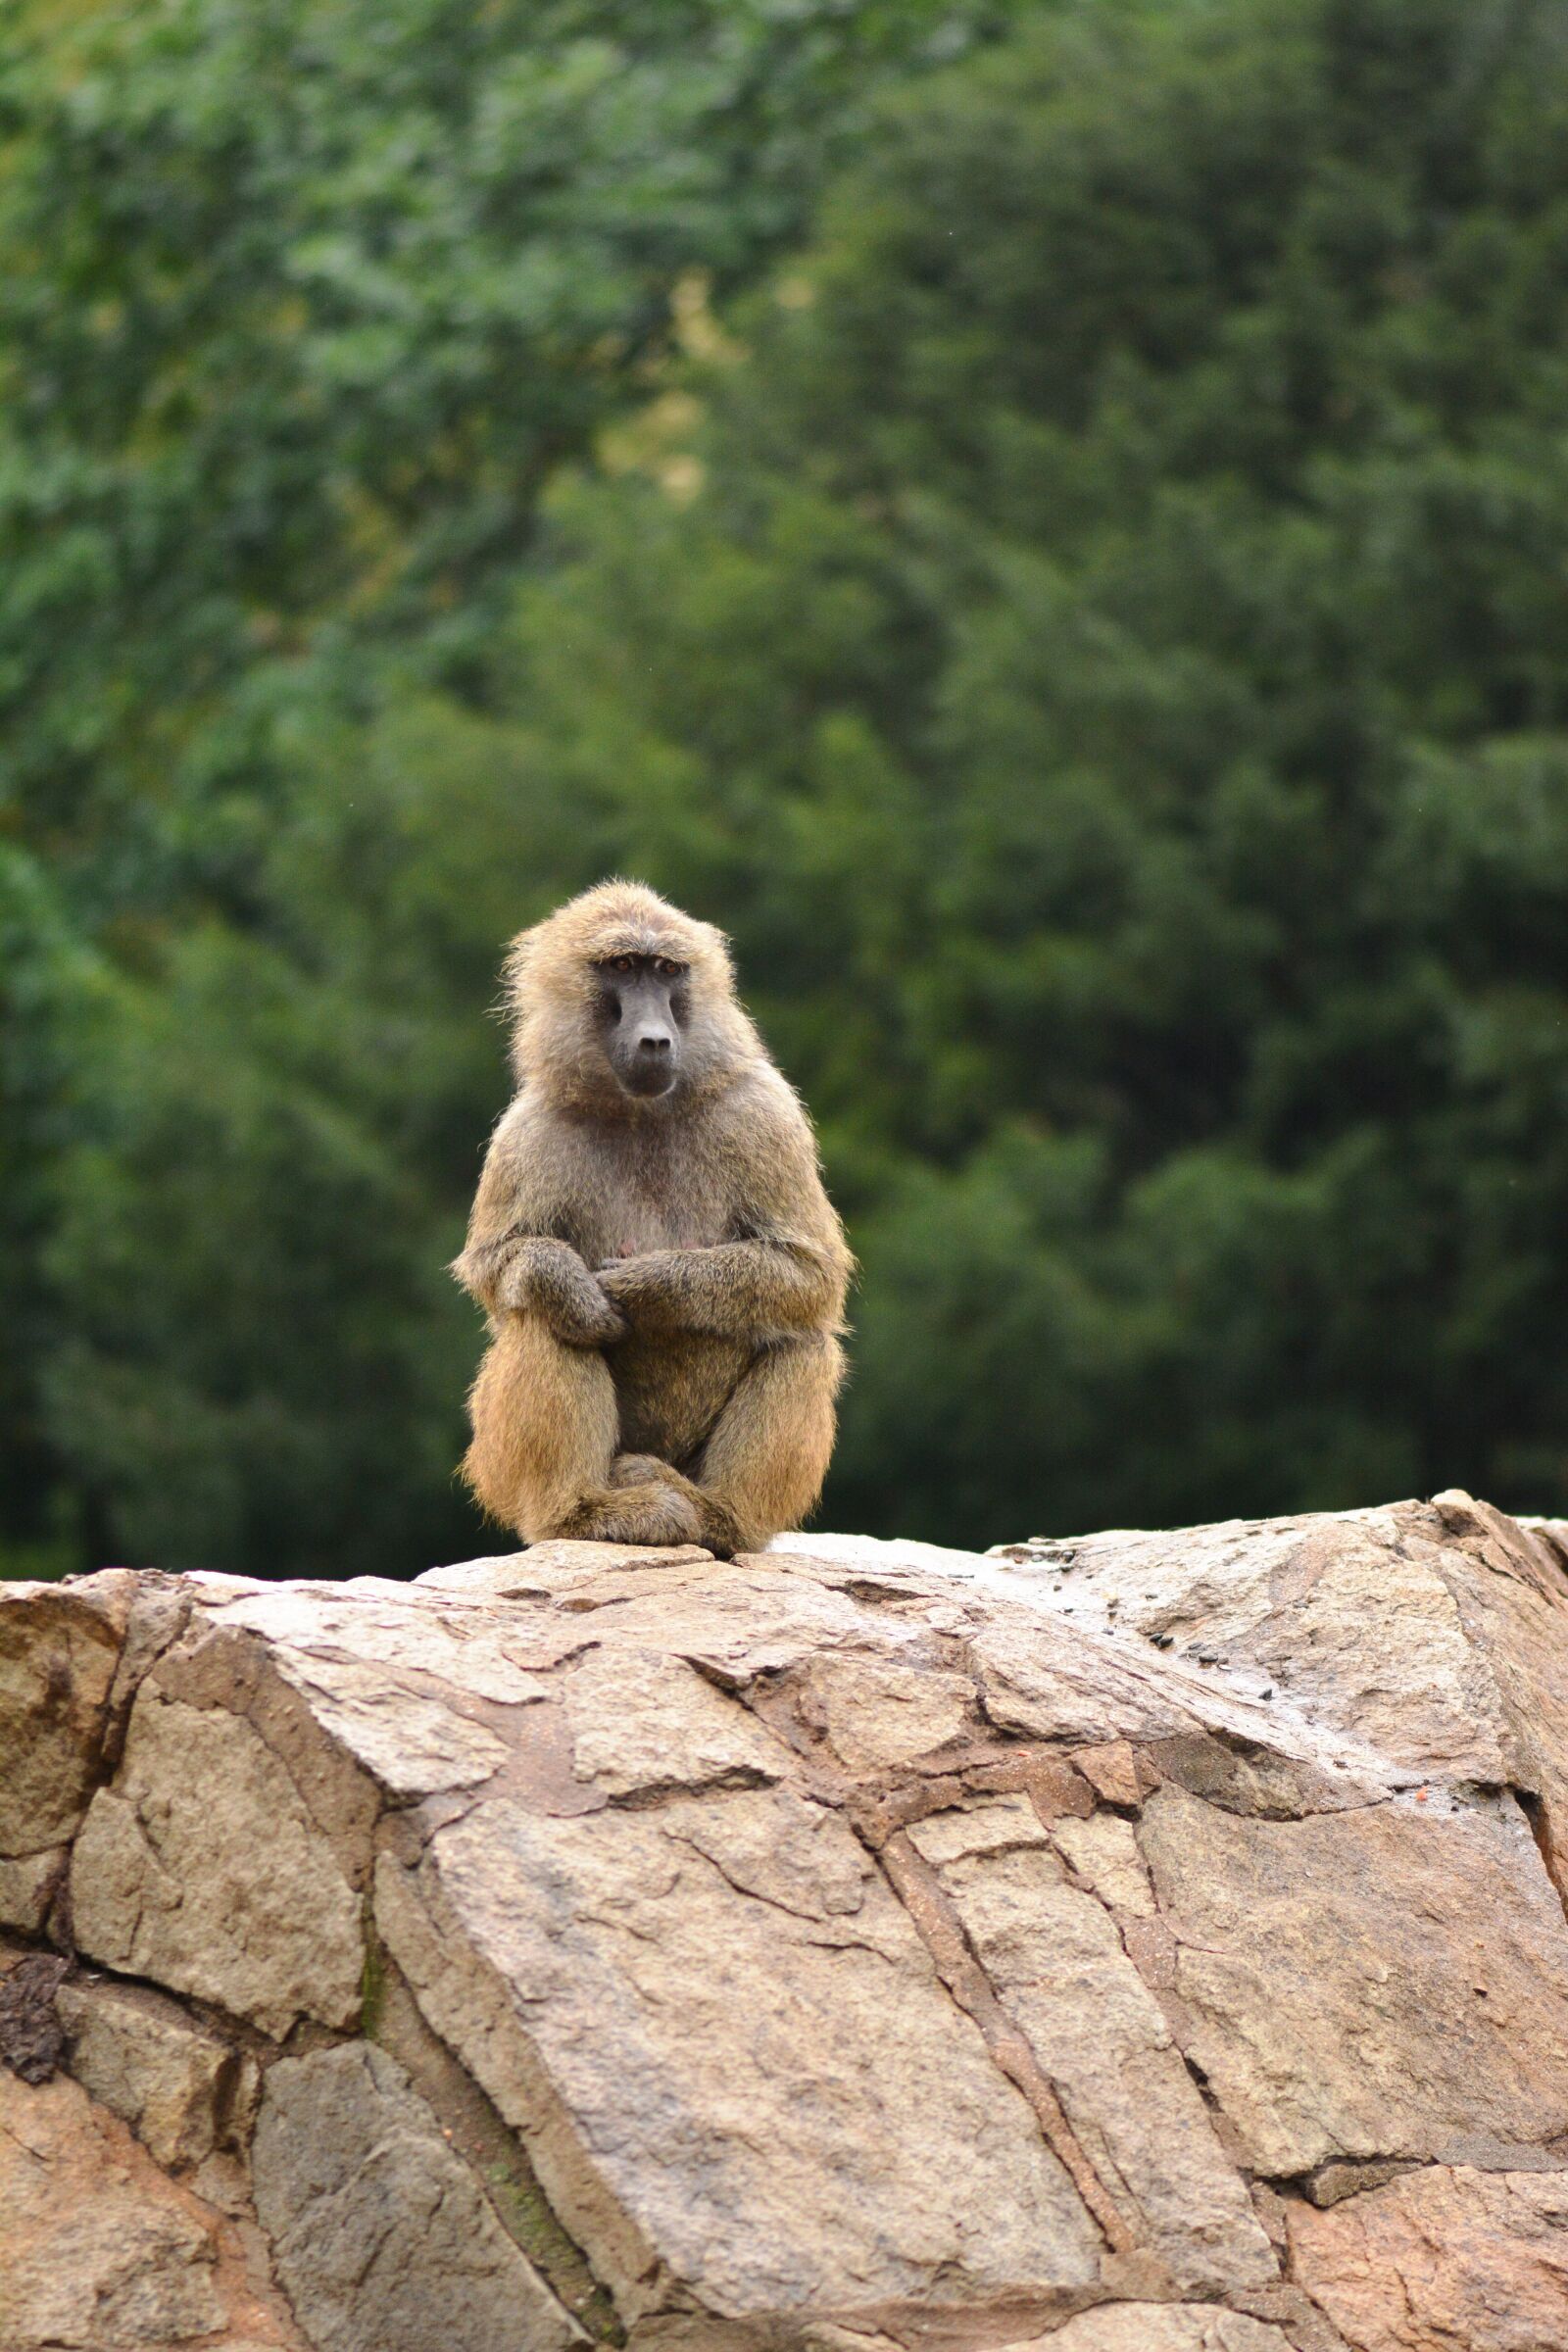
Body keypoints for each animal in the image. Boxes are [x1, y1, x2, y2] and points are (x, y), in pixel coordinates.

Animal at [453, 881, 853, 1558]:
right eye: (621, 966)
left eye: (666, 970)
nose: (655, 1041)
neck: (641, 1111)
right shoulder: (527, 1133)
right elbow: (499, 1266)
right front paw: (575, 1287)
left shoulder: (764, 1114)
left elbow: (810, 1272)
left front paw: (649, 1283)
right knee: (544, 1317)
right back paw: (584, 1513)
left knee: (799, 1333)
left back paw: (719, 1517)